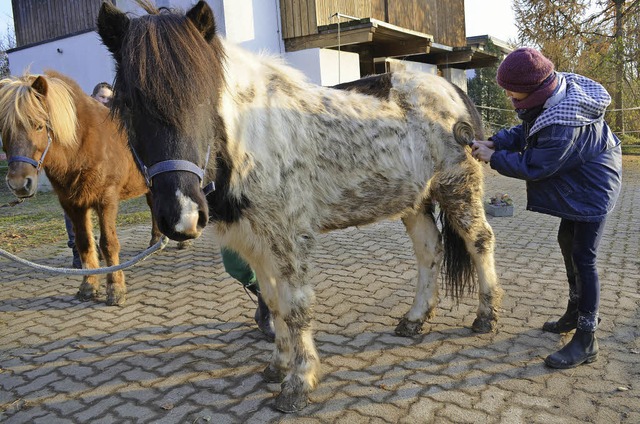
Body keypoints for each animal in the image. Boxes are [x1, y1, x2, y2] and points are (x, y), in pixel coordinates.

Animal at [0, 71, 162, 306]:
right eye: (4, 130)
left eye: (38, 125)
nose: (19, 184)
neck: (82, 146)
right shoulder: (72, 204)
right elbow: (84, 243)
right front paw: (88, 286)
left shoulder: (106, 200)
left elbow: (108, 243)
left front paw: (115, 289)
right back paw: (155, 240)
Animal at [97, 0, 502, 410]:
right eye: (129, 103)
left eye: (203, 97)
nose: (181, 216)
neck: (252, 137)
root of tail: (452, 89)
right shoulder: (254, 241)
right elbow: (273, 303)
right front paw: (277, 366)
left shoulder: (289, 238)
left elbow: (295, 307)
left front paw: (298, 382)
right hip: (415, 201)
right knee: (429, 251)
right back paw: (414, 320)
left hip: (457, 187)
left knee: (479, 241)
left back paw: (485, 316)